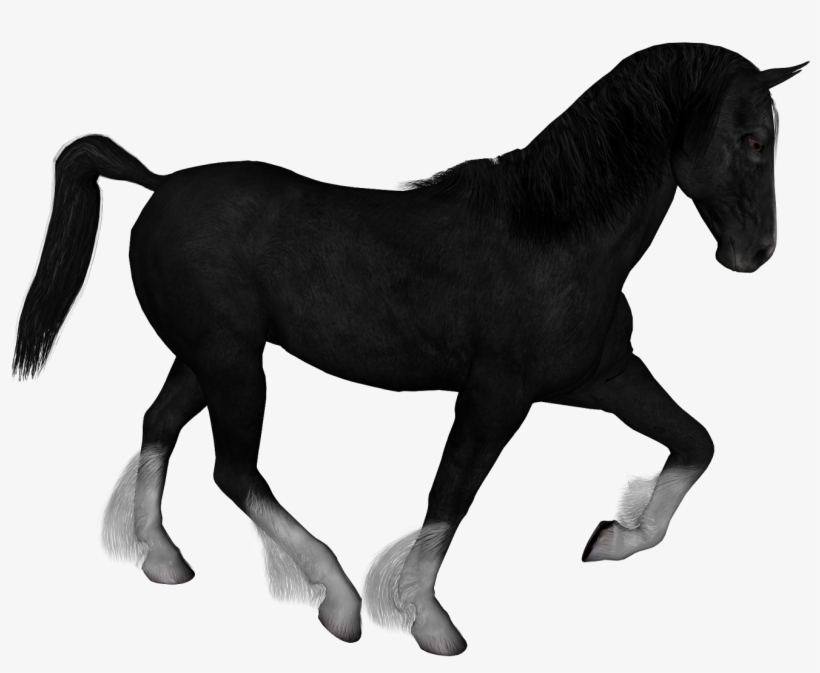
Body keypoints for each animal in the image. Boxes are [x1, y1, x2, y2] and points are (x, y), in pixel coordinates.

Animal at [12, 43, 807, 656]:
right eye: (752, 139)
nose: (755, 253)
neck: (556, 239)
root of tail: (163, 183)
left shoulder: (606, 377)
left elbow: (696, 442)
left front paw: (611, 537)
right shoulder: (495, 398)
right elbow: (450, 494)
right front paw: (429, 620)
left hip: (205, 358)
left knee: (159, 426)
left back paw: (163, 558)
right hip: (234, 362)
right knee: (233, 469)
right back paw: (337, 601)